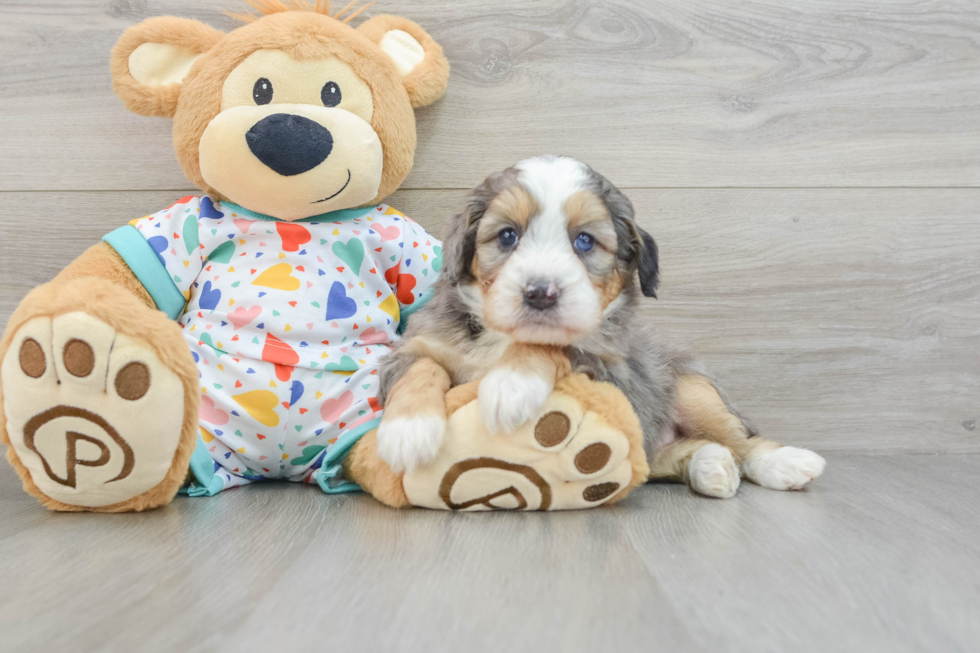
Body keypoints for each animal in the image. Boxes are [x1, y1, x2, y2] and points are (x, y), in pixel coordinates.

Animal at [378, 155, 824, 496]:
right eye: (507, 236)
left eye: (585, 241)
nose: (540, 293)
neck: (503, 338)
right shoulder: (419, 344)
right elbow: (420, 368)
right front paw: (407, 432)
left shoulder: (610, 370)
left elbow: (557, 345)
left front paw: (511, 384)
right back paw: (712, 465)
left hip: (692, 390)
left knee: (740, 439)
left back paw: (783, 461)